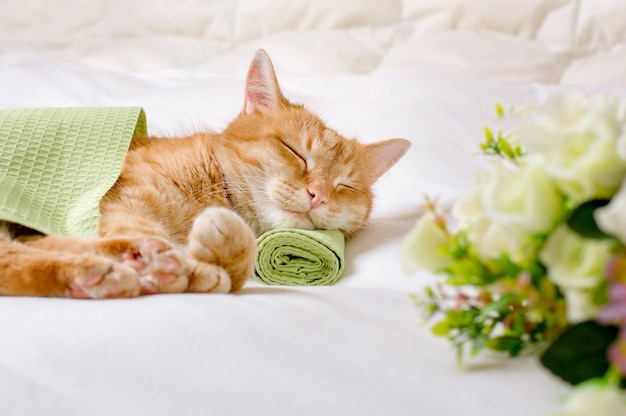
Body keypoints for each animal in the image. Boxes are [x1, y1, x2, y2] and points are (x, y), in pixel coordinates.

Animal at [0, 49, 410, 300]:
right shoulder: (123, 198)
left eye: (344, 186)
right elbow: (146, 232)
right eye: (295, 152)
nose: (318, 195)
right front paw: (186, 263)